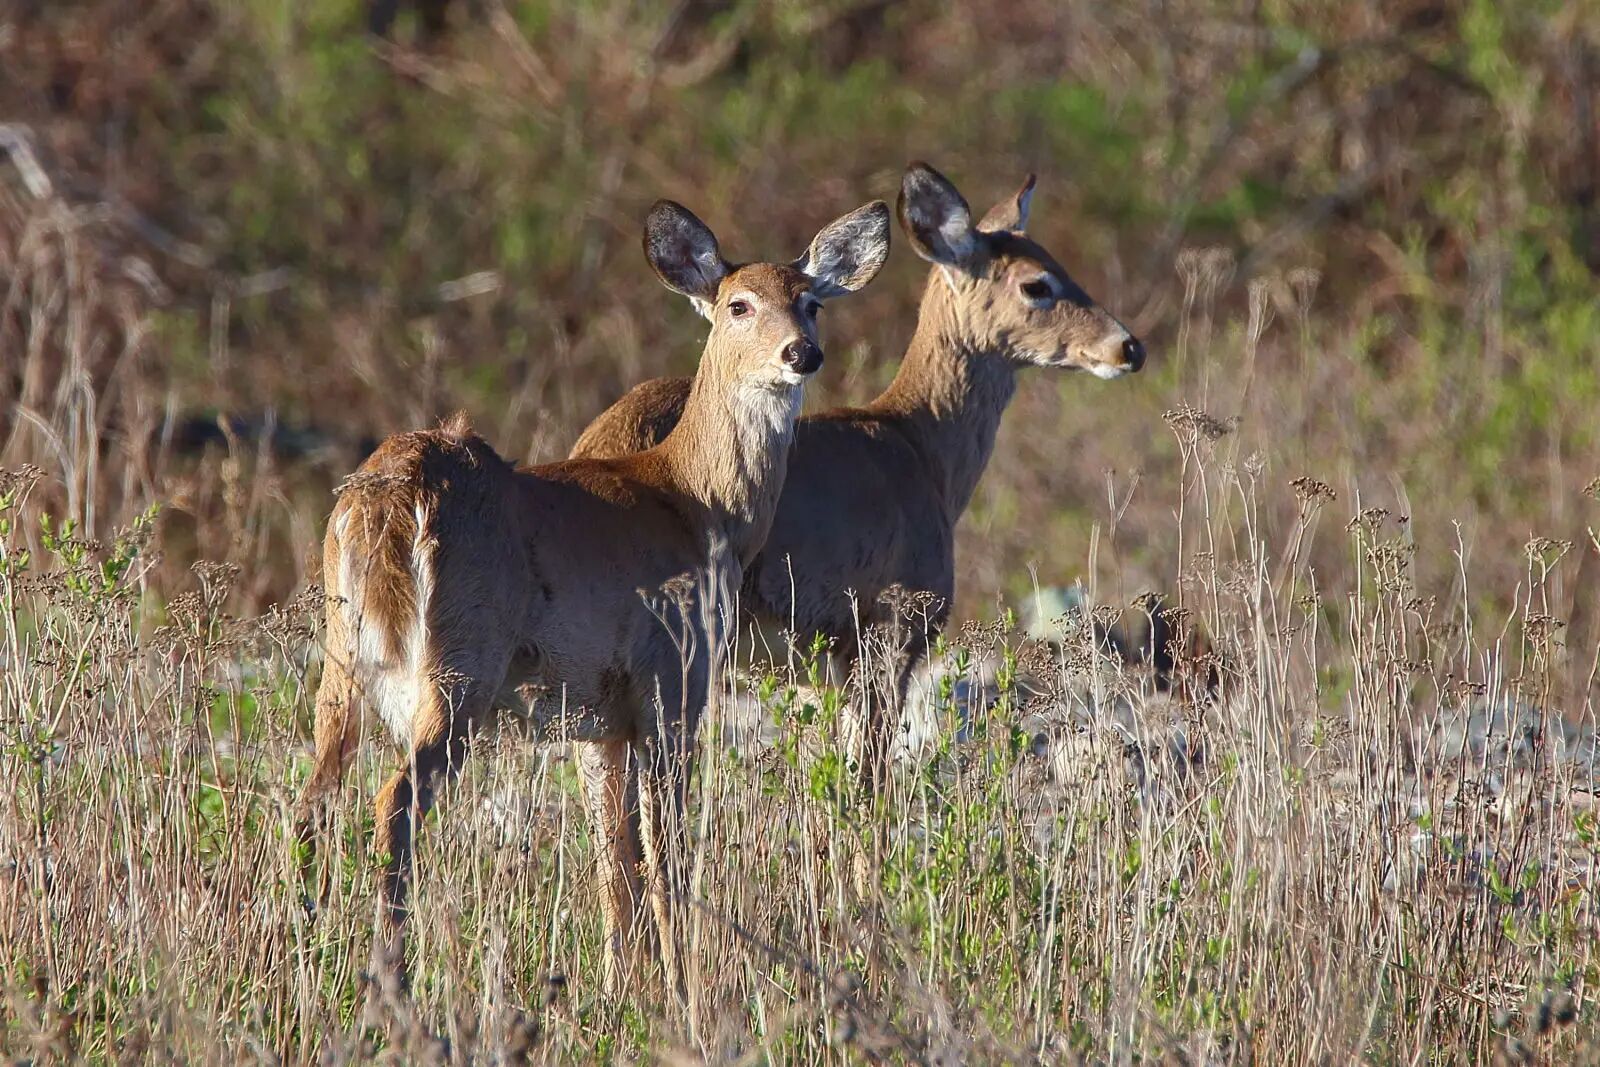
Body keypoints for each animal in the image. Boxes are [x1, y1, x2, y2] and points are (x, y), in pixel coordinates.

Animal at [296, 191, 896, 1017]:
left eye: (810, 301)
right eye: (738, 304)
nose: (801, 354)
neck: (698, 501)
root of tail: (387, 495)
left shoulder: (603, 715)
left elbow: (617, 852)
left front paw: (626, 988)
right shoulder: (673, 679)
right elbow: (667, 849)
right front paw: (686, 991)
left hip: (341, 658)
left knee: (312, 797)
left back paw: (303, 957)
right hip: (458, 663)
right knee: (394, 800)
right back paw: (395, 980)